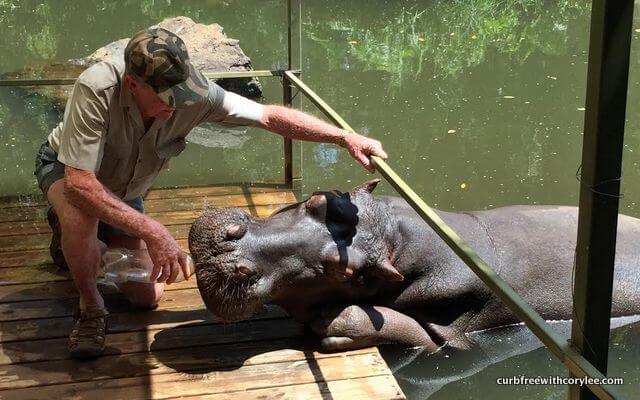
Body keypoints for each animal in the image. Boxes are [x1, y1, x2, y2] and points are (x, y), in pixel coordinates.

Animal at [188, 179, 640, 352]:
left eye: (343, 270)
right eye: (317, 200)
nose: (230, 248)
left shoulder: (453, 329)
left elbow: (412, 332)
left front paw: (330, 322)